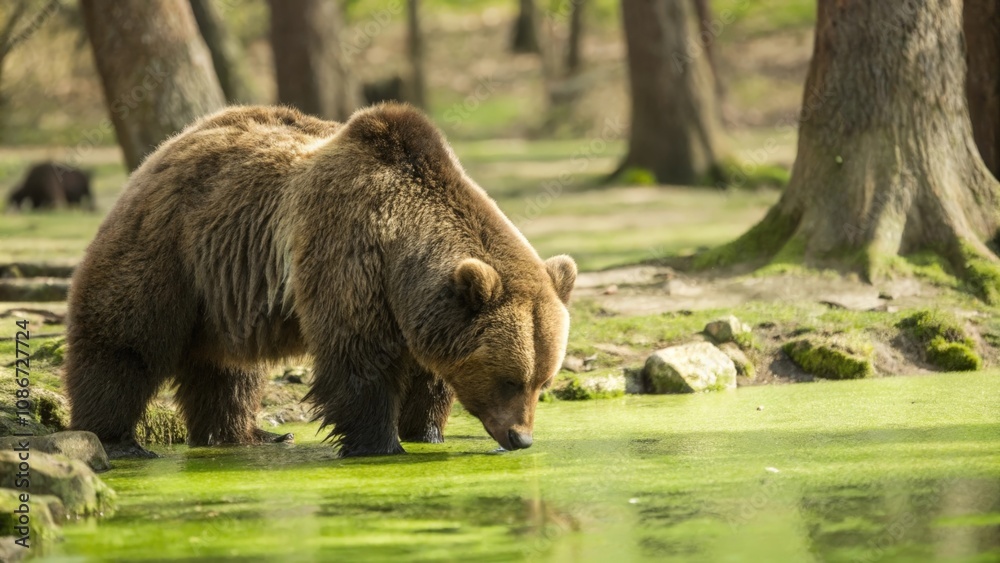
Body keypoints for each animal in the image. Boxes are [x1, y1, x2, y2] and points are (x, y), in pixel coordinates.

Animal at [64, 103, 580, 460]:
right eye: (511, 379)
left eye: (543, 380)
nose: (520, 437)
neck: (403, 252)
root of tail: (171, 143)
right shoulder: (350, 254)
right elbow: (357, 357)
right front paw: (379, 443)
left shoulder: (424, 308)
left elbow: (430, 372)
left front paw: (426, 430)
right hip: (170, 247)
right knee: (126, 339)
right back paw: (120, 439)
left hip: (224, 289)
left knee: (226, 366)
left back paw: (250, 434)